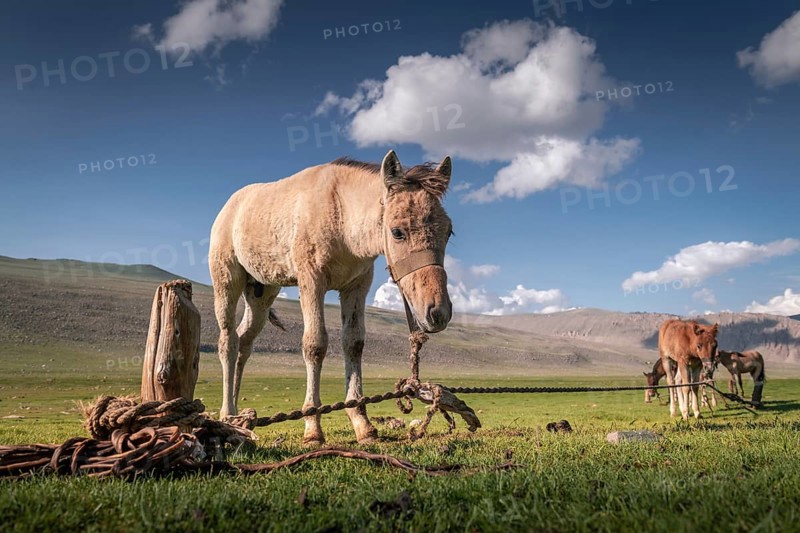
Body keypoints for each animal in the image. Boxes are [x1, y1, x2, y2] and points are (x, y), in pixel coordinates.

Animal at [209, 150, 454, 444]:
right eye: (397, 231)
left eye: (449, 231)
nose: (438, 312)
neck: (341, 216)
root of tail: (228, 208)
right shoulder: (311, 282)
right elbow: (315, 345)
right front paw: (313, 428)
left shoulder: (357, 286)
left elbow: (354, 343)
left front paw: (362, 423)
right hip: (227, 282)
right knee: (228, 342)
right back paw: (227, 413)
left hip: (261, 294)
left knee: (244, 342)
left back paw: (241, 419)